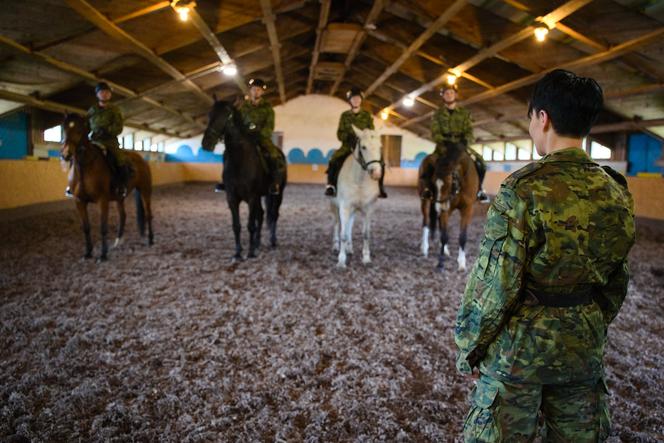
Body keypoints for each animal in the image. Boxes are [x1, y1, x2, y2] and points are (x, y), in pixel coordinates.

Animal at [61, 112, 154, 262]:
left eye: (79, 130)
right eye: (64, 129)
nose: (66, 154)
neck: (85, 167)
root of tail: (141, 160)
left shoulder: (102, 201)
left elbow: (103, 227)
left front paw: (103, 255)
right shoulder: (79, 202)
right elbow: (86, 228)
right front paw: (88, 253)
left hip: (145, 191)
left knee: (148, 214)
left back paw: (150, 240)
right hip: (120, 197)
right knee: (123, 215)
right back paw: (117, 242)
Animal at [201, 100, 286, 260]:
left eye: (227, 115)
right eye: (210, 113)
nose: (207, 143)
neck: (240, 160)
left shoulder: (252, 197)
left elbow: (250, 225)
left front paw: (250, 252)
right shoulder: (232, 198)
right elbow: (237, 226)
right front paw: (238, 253)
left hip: (277, 194)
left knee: (274, 215)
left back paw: (272, 241)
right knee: (262, 214)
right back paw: (258, 243)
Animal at [332, 126, 384, 268]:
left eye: (380, 146)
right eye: (364, 147)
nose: (376, 173)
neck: (359, 180)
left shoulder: (368, 209)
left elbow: (365, 234)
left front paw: (366, 258)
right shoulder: (344, 207)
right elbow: (343, 233)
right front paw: (341, 261)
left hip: (353, 210)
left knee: (349, 225)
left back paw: (349, 248)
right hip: (334, 206)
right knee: (337, 224)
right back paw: (336, 246)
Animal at [420, 142, 478, 274]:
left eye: (450, 182)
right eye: (433, 182)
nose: (439, 207)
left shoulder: (468, 208)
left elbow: (462, 236)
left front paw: (461, 263)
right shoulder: (446, 209)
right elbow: (444, 235)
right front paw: (440, 264)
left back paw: (445, 250)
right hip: (425, 201)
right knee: (426, 221)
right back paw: (425, 248)